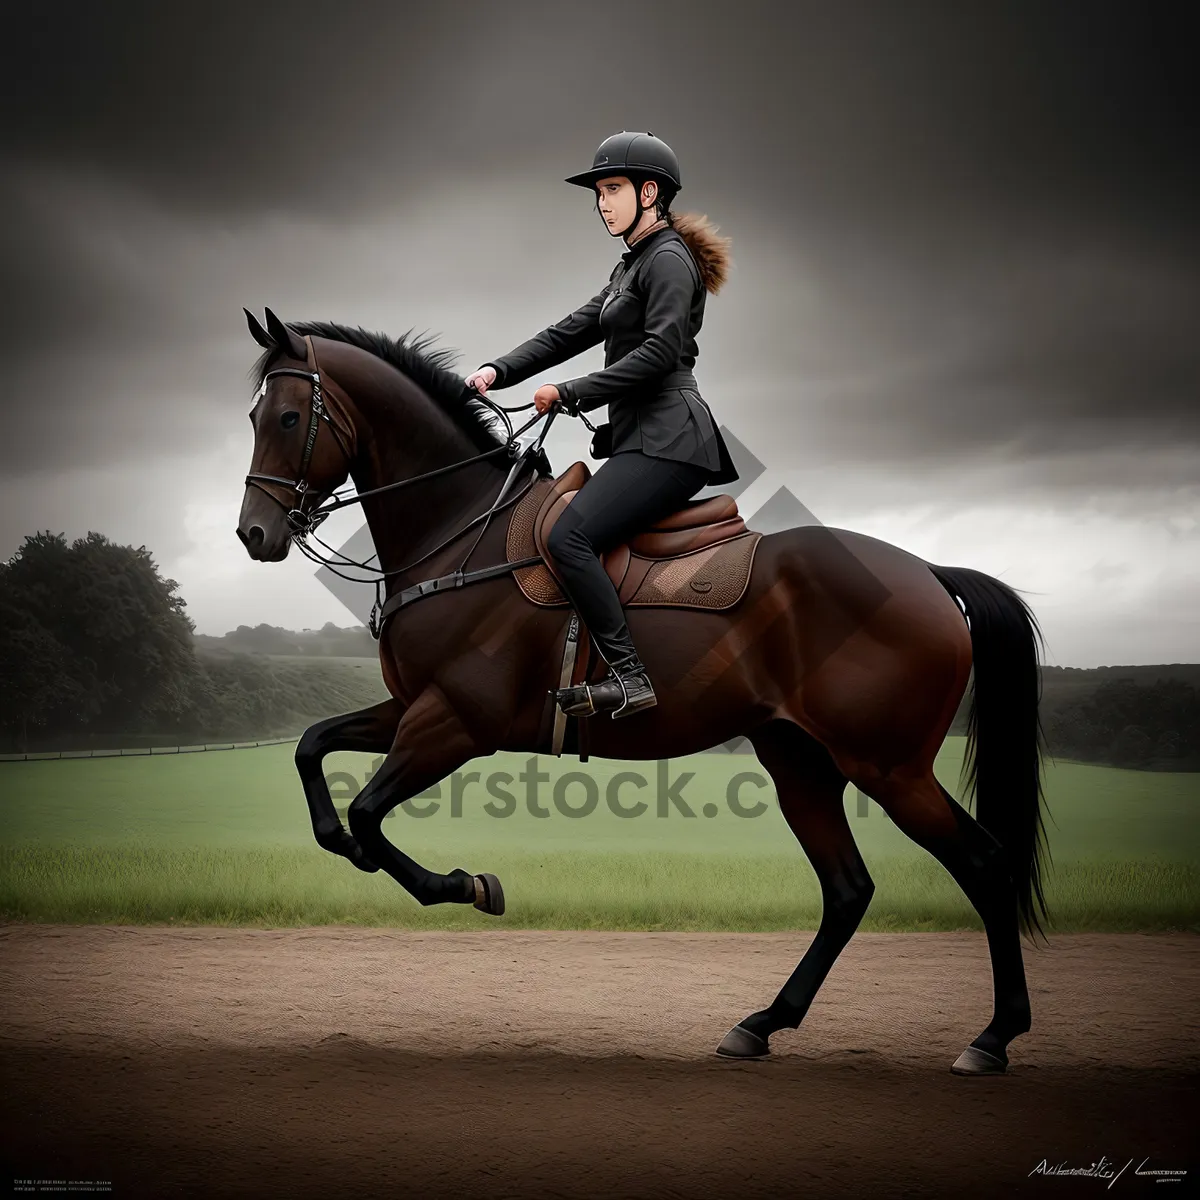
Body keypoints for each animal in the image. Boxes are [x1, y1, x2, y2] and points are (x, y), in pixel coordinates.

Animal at [238, 304, 1056, 1075]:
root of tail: (929, 575)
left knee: (984, 865)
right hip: (800, 760)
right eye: (251, 417)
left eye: (287, 417)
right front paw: (362, 850)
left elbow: (369, 813)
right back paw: (763, 1024)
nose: (254, 535)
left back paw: (994, 1036)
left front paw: (468, 885)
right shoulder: (412, 709)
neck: (462, 530)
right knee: (849, 888)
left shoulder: (454, 723)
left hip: (888, 767)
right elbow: (314, 755)